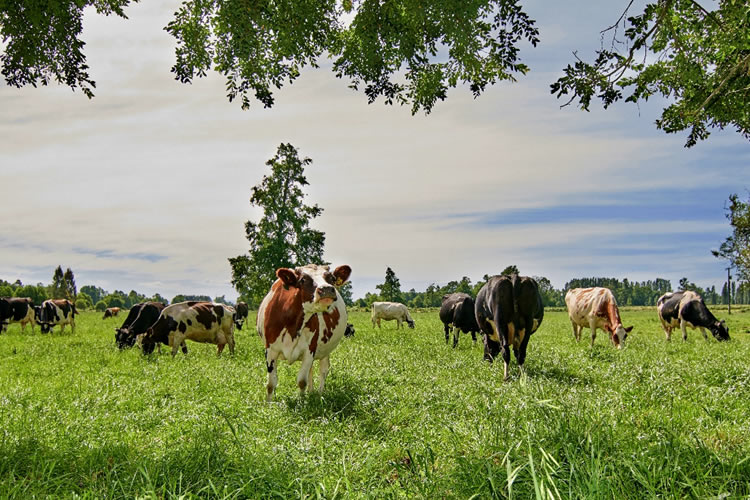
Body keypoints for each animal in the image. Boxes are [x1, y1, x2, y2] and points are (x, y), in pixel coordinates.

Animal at [258, 264, 352, 400]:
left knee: (323, 370)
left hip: (325, 349)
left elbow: (302, 381)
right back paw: (311, 391)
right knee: (311, 371)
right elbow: (271, 384)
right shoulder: (270, 351)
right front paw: (268, 404)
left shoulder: (309, 350)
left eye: (332, 278)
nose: (326, 289)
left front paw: (302, 401)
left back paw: (319, 394)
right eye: (302, 279)